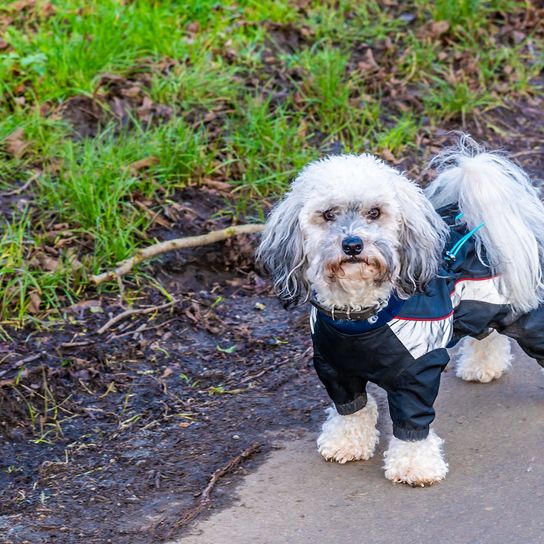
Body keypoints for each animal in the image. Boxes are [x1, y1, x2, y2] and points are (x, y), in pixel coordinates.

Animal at [258, 136, 544, 484]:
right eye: (327, 214)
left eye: (374, 212)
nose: (352, 244)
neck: (360, 320)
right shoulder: (334, 368)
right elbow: (351, 409)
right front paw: (346, 442)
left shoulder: (416, 372)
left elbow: (413, 421)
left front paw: (414, 465)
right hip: (484, 305)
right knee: (488, 334)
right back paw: (483, 368)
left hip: (528, 316)